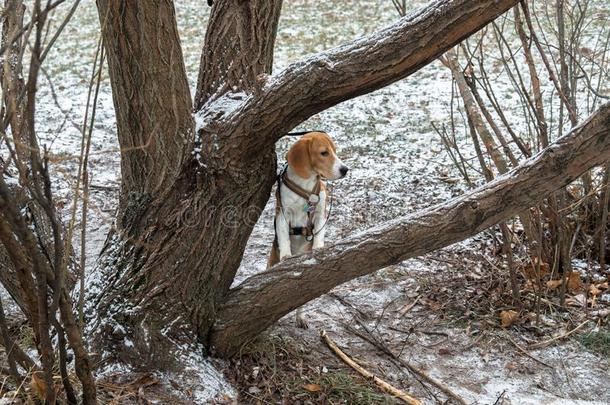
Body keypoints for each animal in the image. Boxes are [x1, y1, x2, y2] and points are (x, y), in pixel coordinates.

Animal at [266, 133, 346, 328]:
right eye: (324, 153)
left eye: (335, 151)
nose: (345, 169)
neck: (305, 183)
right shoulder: (282, 215)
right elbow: (284, 237)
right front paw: (286, 255)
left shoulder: (320, 214)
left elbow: (319, 233)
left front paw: (318, 248)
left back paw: (300, 317)